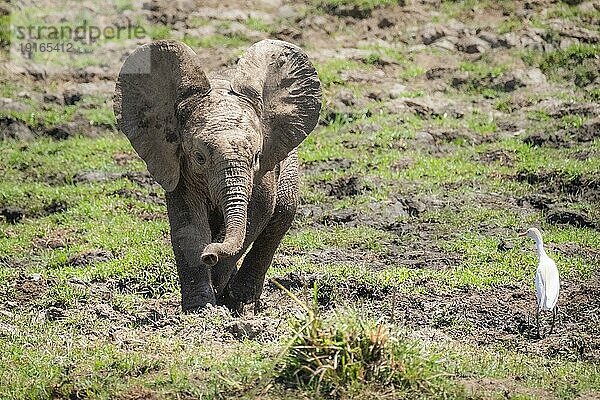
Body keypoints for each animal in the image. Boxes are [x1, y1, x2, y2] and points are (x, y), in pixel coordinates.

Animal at [114, 39, 322, 312]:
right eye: (199, 157)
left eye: (256, 156)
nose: (209, 255)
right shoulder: (179, 165)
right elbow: (189, 227)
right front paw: (199, 309)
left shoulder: (266, 164)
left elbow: (257, 214)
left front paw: (220, 289)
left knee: (282, 214)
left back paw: (241, 300)